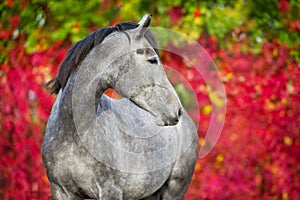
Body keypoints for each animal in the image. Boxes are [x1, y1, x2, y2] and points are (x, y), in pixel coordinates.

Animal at [41, 14, 198, 200]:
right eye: (152, 60)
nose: (177, 110)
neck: (75, 133)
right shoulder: (60, 190)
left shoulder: (111, 190)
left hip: (174, 190)